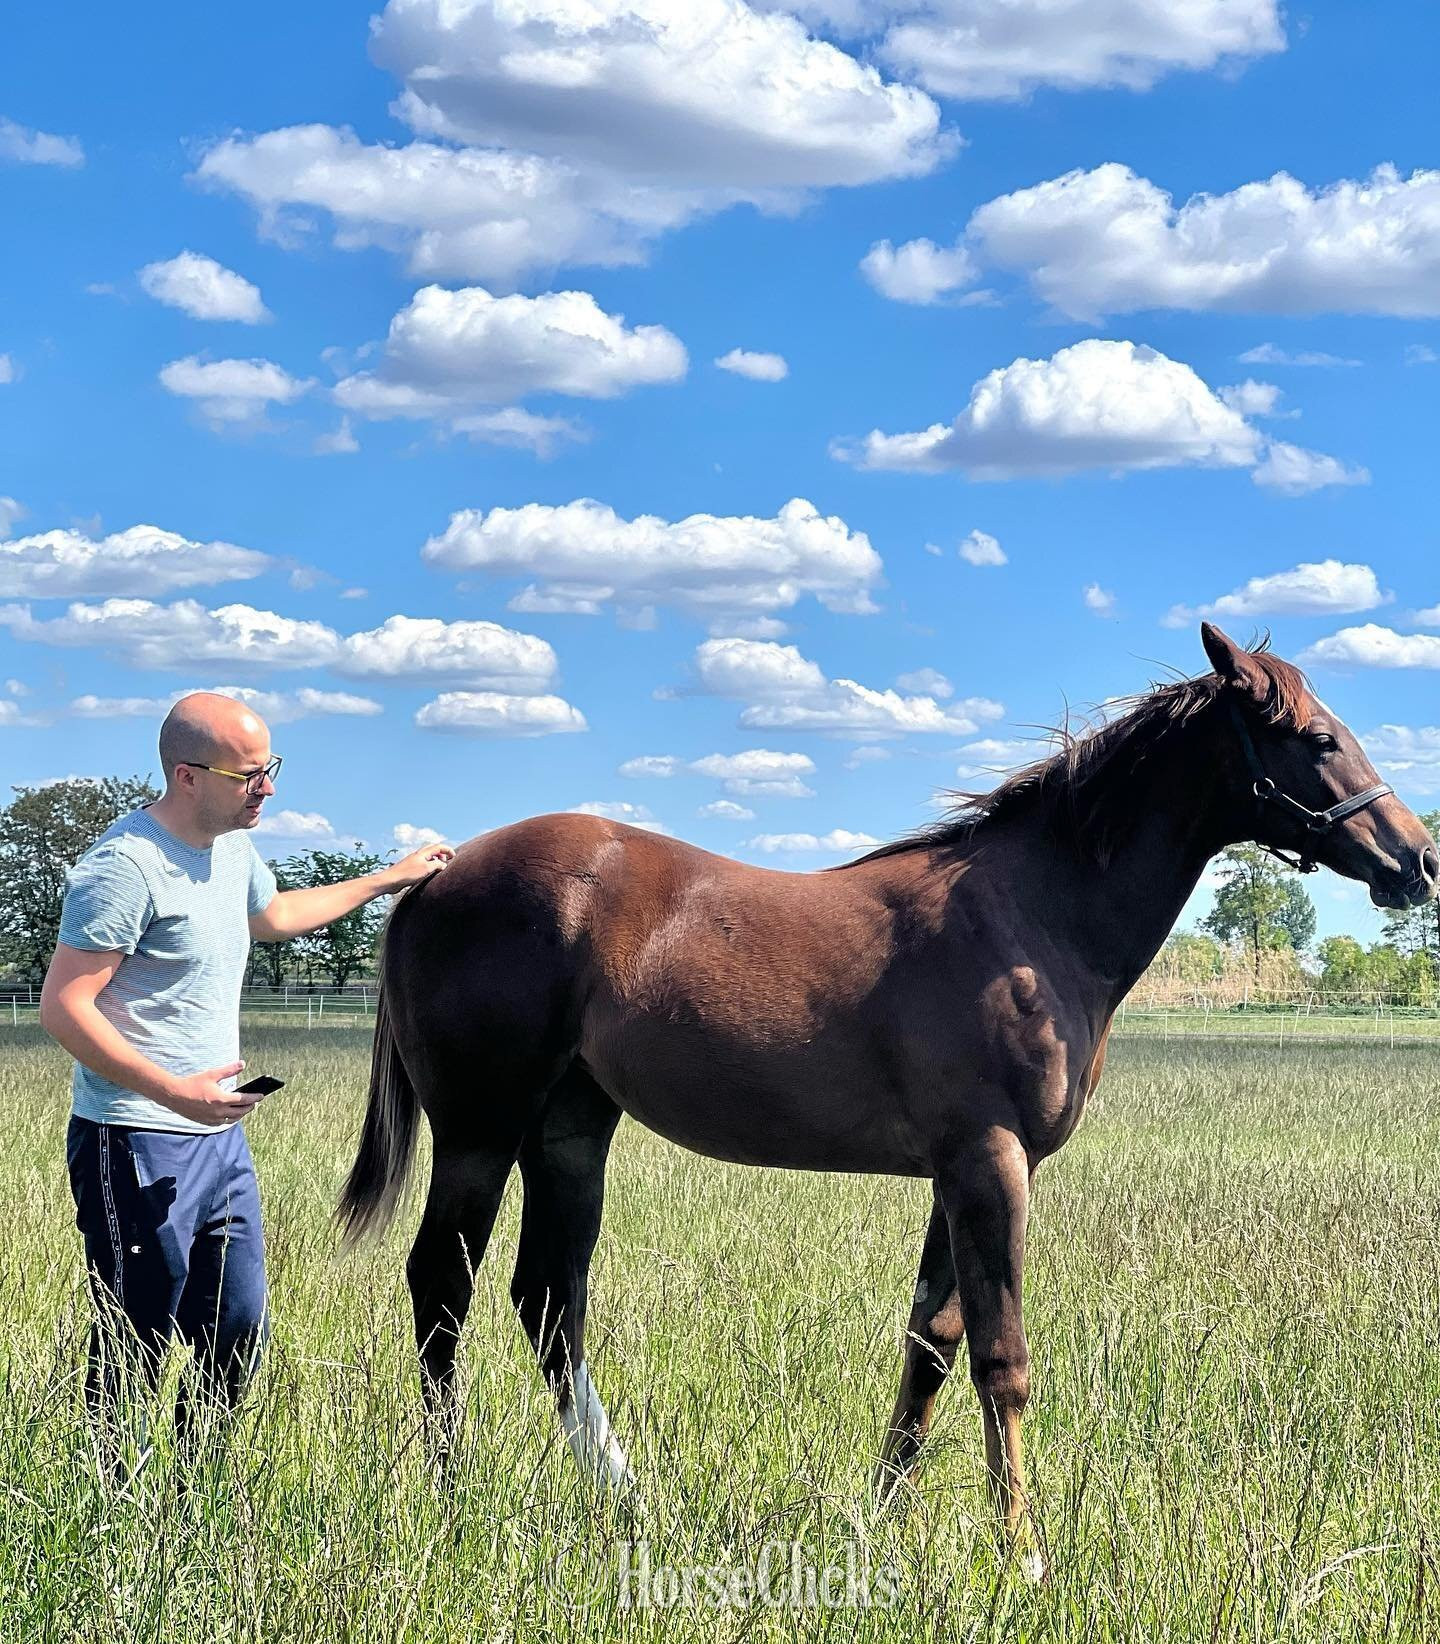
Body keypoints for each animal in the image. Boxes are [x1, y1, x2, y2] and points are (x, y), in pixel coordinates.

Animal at [338, 623, 1437, 1577]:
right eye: (1318, 738)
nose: (1417, 860)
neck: (1029, 918)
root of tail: (435, 878)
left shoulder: (960, 1171)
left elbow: (930, 1345)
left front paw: (881, 1522)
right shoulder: (990, 1161)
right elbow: (1001, 1357)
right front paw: (1022, 1554)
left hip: (571, 1130)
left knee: (547, 1302)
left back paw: (624, 1497)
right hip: (480, 1131)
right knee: (443, 1289)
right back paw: (450, 1501)